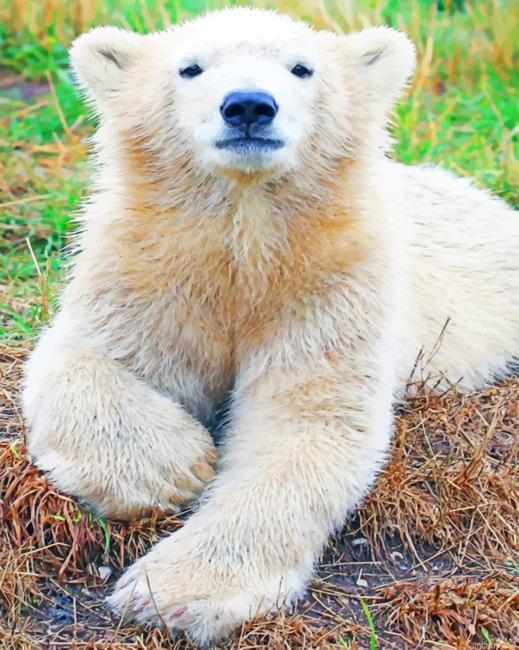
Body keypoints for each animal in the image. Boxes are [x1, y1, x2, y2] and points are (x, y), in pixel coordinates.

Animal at [22, 7, 518, 646]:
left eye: (301, 67)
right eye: (190, 67)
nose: (249, 105)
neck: (247, 240)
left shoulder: (332, 284)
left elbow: (307, 419)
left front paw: (175, 593)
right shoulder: (145, 268)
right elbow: (79, 355)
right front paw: (175, 467)